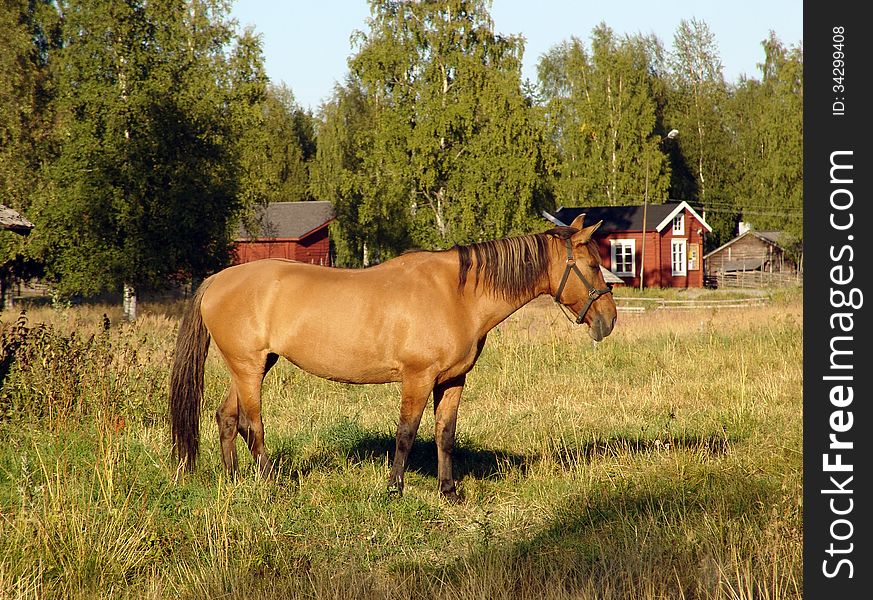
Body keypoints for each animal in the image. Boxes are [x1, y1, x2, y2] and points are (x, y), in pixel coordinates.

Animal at [170, 213, 616, 500]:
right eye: (593, 265)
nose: (608, 320)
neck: (457, 294)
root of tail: (217, 280)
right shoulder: (417, 378)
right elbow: (406, 433)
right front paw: (394, 488)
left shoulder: (452, 380)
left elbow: (445, 434)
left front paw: (449, 491)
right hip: (249, 368)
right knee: (254, 425)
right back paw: (270, 485)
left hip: (251, 366)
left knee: (227, 419)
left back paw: (233, 480)